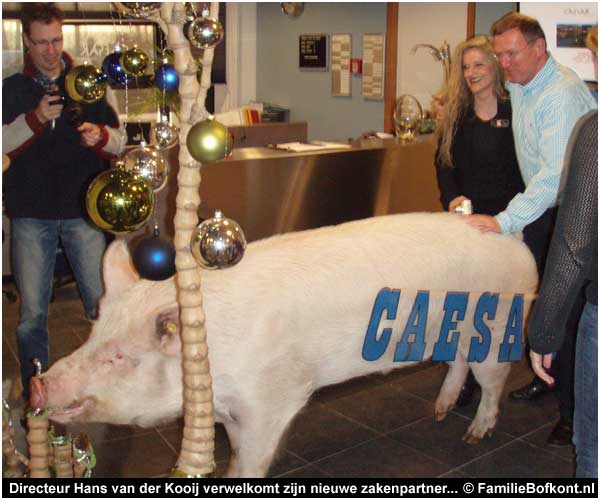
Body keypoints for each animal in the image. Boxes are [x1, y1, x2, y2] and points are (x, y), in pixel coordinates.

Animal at [28, 213, 536, 478]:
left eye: (119, 358)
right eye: (94, 333)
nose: (38, 384)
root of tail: (516, 240)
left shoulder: (270, 400)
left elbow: (255, 457)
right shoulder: (229, 410)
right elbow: (233, 452)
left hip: (500, 327)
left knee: (492, 380)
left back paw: (475, 435)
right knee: (459, 362)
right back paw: (439, 412)